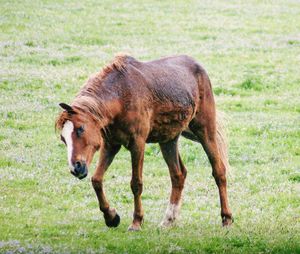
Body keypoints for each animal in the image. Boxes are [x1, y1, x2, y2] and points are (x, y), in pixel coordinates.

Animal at [56, 54, 234, 231]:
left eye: (80, 129)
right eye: (63, 138)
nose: (76, 168)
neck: (121, 95)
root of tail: (197, 66)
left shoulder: (137, 144)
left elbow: (136, 184)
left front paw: (136, 221)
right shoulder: (110, 145)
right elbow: (96, 180)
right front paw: (111, 217)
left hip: (205, 132)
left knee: (219, 172)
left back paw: (226, 218)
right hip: (168, 140)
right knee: (178, 175)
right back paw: (169, 219)